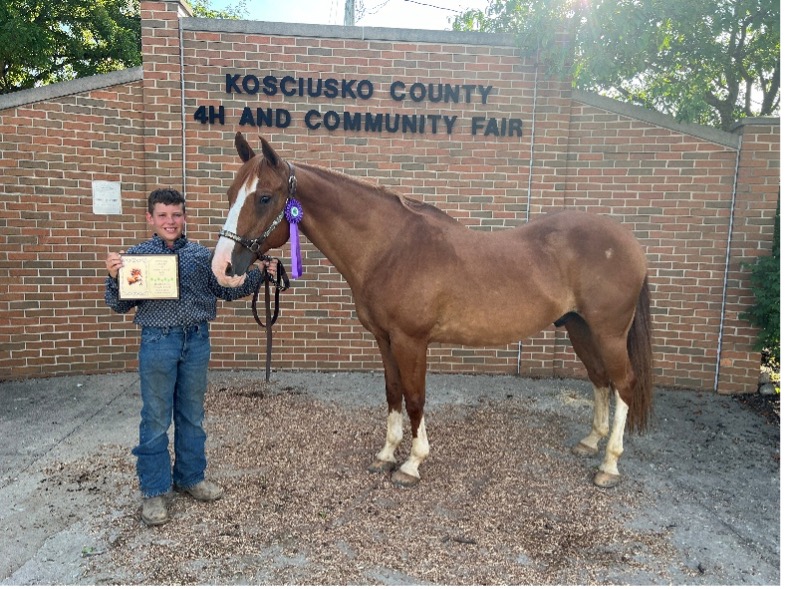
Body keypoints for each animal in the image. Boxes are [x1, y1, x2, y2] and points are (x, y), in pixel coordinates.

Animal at [212, 132, 653, 489]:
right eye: (230, 194)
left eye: (264, 197)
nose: (223, 267)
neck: (390, 248)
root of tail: (629, 241)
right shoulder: (384, 339)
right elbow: (393, 393)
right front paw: (385, 456)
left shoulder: (412, 341)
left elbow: (415, 397)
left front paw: (411, 464)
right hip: (580, 328)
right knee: (601, 380)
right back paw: (589, 443)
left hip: (608, 332)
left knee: (623, 384)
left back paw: (609, 466)